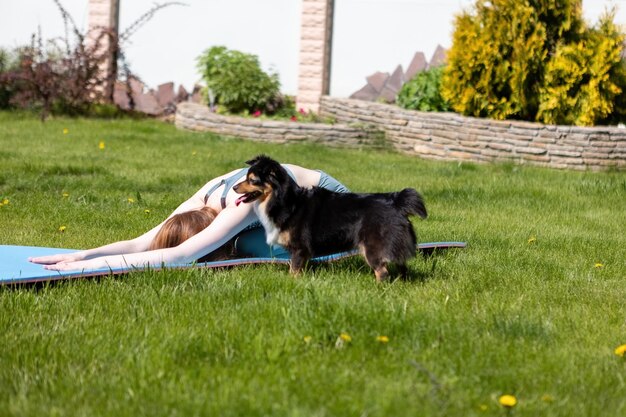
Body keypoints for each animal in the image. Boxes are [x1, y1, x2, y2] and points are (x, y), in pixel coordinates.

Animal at [232, 154, 426, 282]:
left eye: (252, 180)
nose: (234, 187)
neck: (285, 200)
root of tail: (396, 201)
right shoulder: (304, 252)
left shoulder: (299, 248)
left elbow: (293, 269)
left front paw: (291, 283)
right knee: (402, 267)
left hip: (372, 247)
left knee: (382, 272)